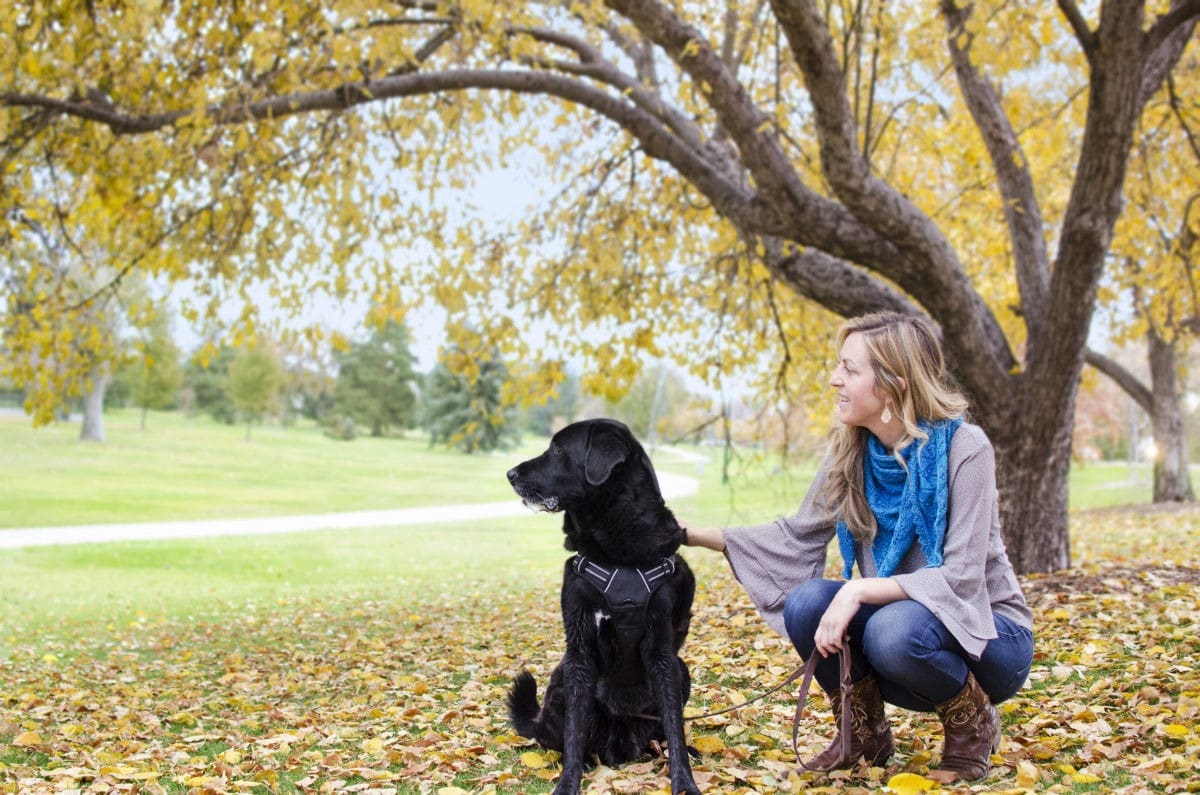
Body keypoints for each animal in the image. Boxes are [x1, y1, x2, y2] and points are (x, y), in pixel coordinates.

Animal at [501, 420, 700, 792]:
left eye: (559, 449)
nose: (510, 474)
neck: (618, 550)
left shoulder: (663, 652)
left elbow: (674, 726)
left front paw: (684, 782)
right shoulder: (579, 652)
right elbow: (574, 732)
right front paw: (567, 783)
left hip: (681, 670)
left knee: (661, 733)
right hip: (562, 680)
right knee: (560, 739)